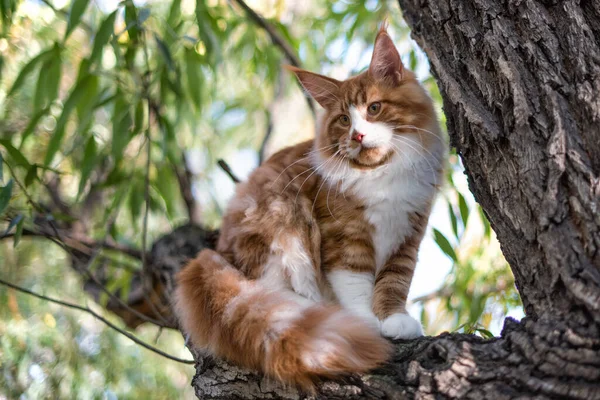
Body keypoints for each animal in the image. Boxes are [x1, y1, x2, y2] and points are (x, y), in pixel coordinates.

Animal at [175, 24, 446, 390]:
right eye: (344, 119)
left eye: (374, 108)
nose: (358, 136)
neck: (381, 175)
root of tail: (215, 252)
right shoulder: (343, 236)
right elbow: (355, 284)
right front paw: (364, 320)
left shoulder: (407, 233)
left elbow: (394, 282)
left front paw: (394, 319)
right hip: (285, 219)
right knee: (274, 288)